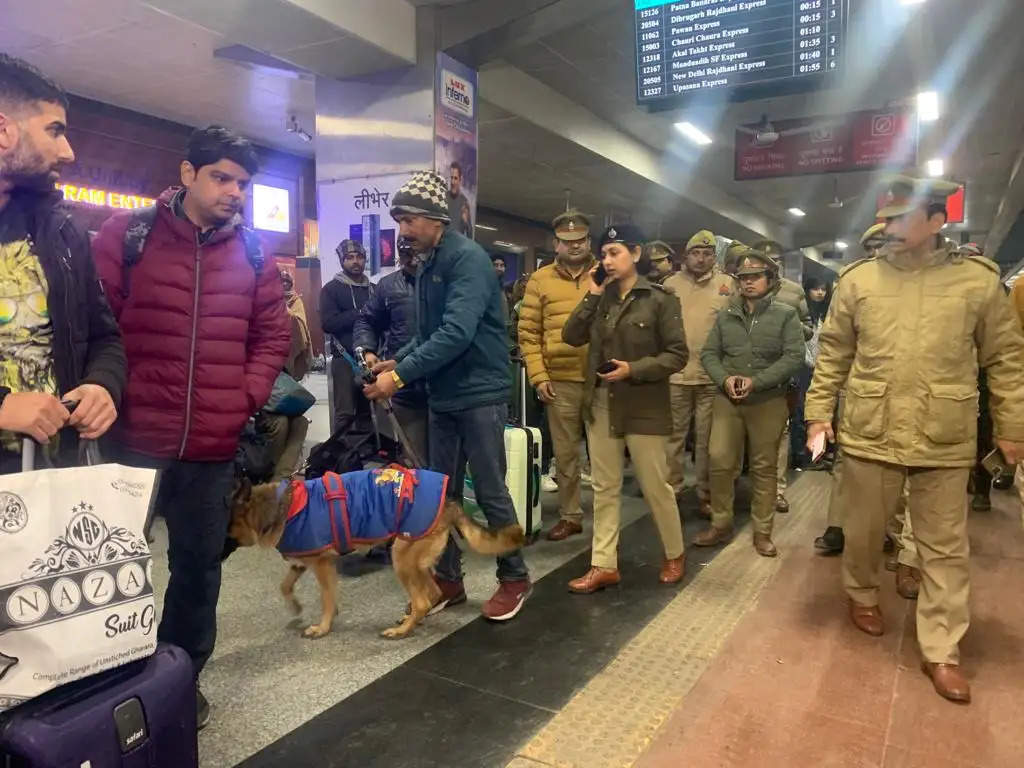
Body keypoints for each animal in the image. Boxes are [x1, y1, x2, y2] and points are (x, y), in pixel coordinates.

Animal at [227, 479, 524, 638]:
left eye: (226, 524)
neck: (278, 507)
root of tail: (449, 503)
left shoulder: (322, 565)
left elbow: (326, 599)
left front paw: (322, 627)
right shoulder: (301, 562)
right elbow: (285, 585)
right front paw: (295, 607)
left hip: (401, 558)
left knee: (423, 599)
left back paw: (402, 631)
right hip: (414, 562)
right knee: (432, 593)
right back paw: (412, 620)